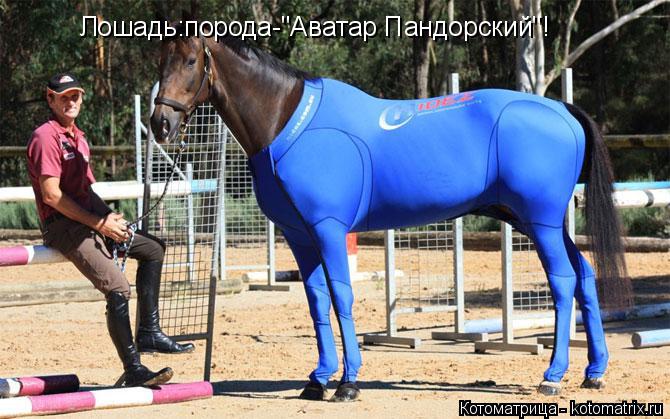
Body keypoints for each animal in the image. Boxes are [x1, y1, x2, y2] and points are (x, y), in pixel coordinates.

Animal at [150, 30, 631, 401]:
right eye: (160, 61)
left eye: (191, 60)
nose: (160, 124)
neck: (288, 121)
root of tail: (561, 109)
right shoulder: (299, 236)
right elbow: (316, 301)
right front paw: (318, 379)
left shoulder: (328, 230)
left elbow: (341, 296)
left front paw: (348, 382)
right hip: (534, 221)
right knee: (584, 274)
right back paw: (594, 372)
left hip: (542, 221)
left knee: (563, 282)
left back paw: (552, 377)